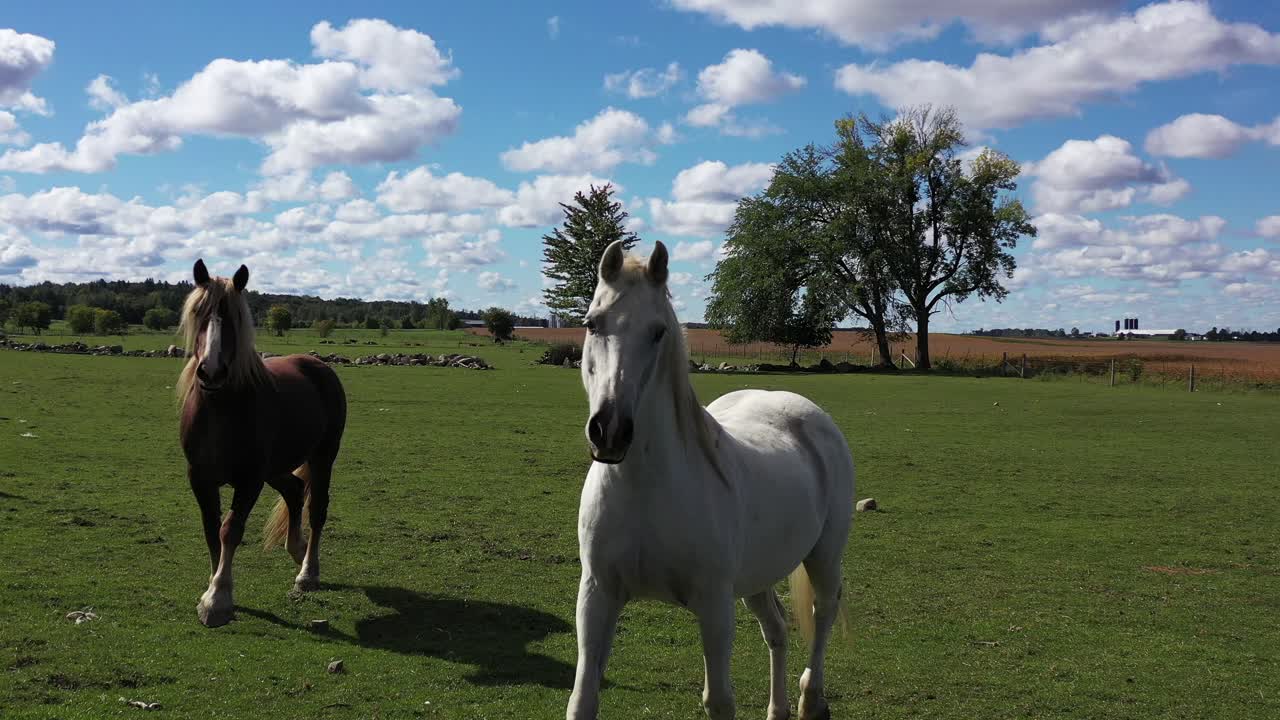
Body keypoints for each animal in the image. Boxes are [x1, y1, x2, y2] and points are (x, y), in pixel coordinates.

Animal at [177, 259, 347, 627]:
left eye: (233, 318)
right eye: (198, 312)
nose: (211, 372)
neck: (221, 410)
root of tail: (317, 364)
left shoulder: (250, 478)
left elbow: (230, 530)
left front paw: (218, 599)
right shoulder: (200, 478)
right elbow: (211, 530)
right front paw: (214, 587)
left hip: (322, 457)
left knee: (317, 507)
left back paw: (307, 572)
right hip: (276, 467)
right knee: (295, 490)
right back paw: (296, 549)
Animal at [566, 241, 855, 720]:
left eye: (659, 331)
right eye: (592, 323)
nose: (610, 430)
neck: (646, 489)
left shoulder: (715, 607)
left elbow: (718, 699)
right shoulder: (597, 595)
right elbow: (583, 697)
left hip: (824, 556)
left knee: (824, 613)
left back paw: (811, 699)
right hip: (757, 576)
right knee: (777, 629)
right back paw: (777, 709)